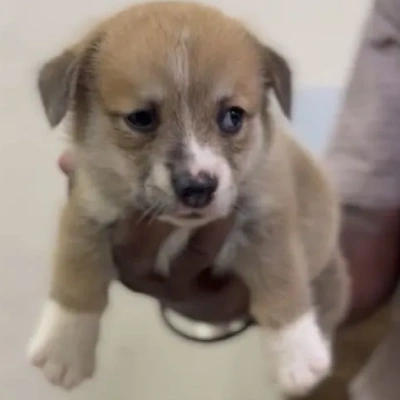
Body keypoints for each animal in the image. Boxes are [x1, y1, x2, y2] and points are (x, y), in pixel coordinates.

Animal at [28, 1, 350, 396]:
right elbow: (76, 274)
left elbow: (281, 280)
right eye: (141, 118)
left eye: (232, 117)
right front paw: (64, 349)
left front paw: (297, 354)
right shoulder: (88, 210)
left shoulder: (267, 220)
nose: (198, 187)